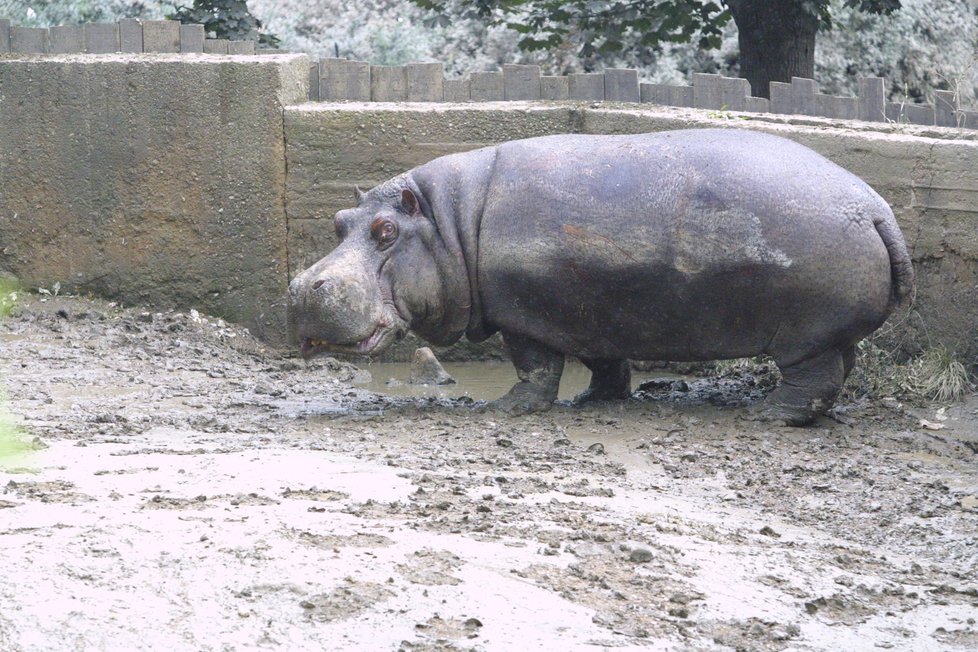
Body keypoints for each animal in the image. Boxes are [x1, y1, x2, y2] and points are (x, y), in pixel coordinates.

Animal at [286, 129, 912, 426]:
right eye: (339, 221)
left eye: (386, 231)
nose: (299, 287)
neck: (451, 224)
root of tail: (876, 209)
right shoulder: (592, 312)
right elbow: (604, 361)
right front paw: (595, 401)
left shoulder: (527, 316)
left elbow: (535, 368)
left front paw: (506, 409)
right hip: (828, 331)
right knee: (840, 369)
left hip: (806, 335)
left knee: (813, 379)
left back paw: (768, 414)